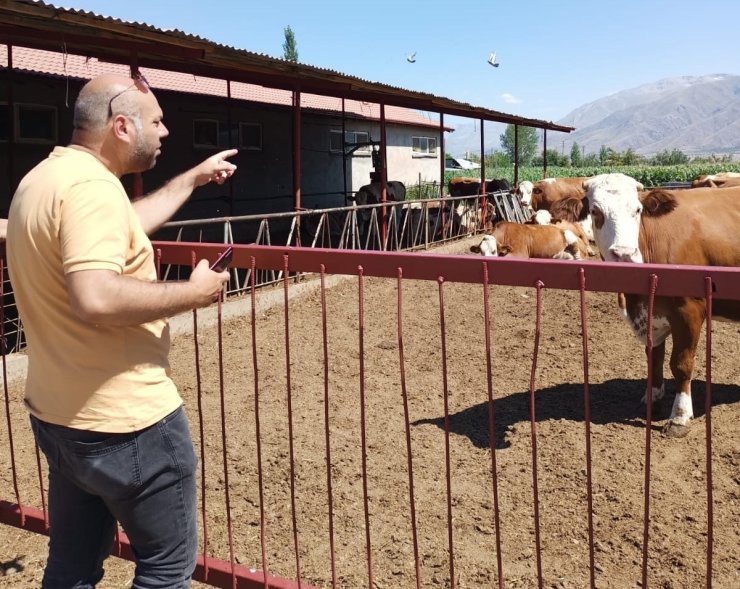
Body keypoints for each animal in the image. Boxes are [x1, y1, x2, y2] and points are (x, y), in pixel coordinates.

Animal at [584, 172, 740, 434]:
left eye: (637, 210)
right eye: (595, 211)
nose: (624, 254)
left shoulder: (690, 309)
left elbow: (681, 364)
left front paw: (679, 416)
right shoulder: (650, 314)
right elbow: (654, 358)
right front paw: (652, 399)